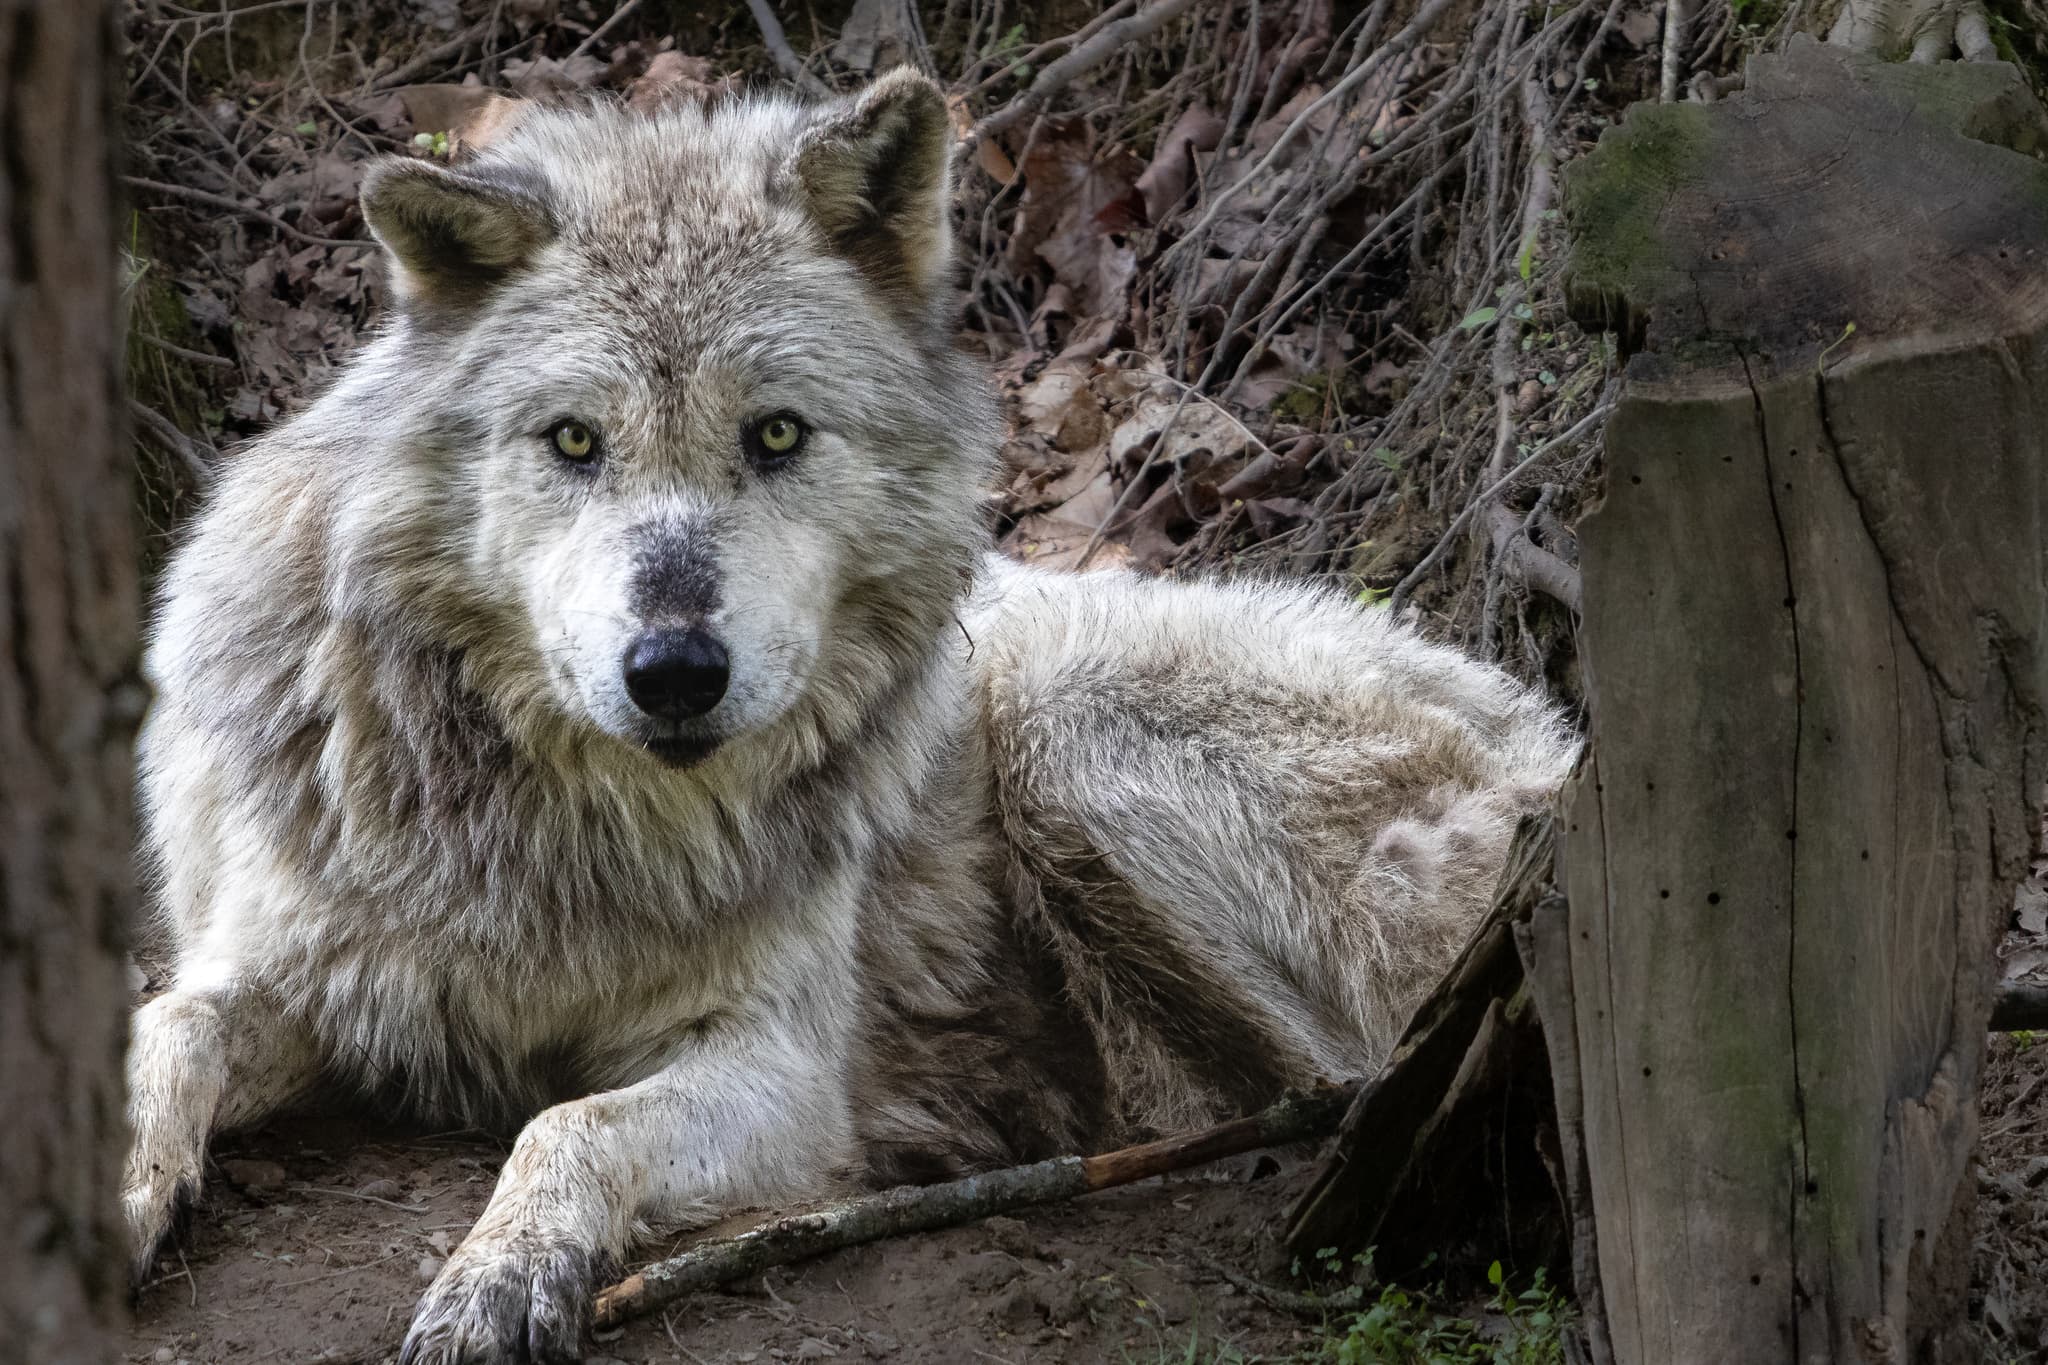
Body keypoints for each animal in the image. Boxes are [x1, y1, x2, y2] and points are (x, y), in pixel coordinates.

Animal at [122, 70, 1576, 1363]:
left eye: (775, 435)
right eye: (574, 441)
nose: (675, 669)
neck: (560, 833)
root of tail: (1551, 738)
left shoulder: (781, 1067)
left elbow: (567, 1124)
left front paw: (504, 1271)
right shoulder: (295, 970)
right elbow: (164, 1029)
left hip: (1059, 711)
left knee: (1323, 1086)